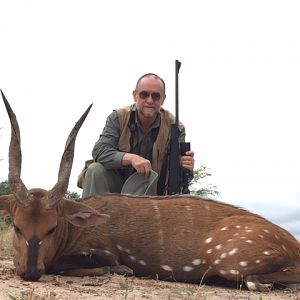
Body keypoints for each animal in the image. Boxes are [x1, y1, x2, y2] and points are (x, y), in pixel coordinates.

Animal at [0, 91, 298, 290]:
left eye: (51, 228)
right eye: (17, 226)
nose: (29, 272)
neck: (73, 230)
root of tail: (291, 242)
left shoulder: (104, 251)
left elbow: (72, 264)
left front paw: (121, 269)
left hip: (232, 262)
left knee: (258, 278)